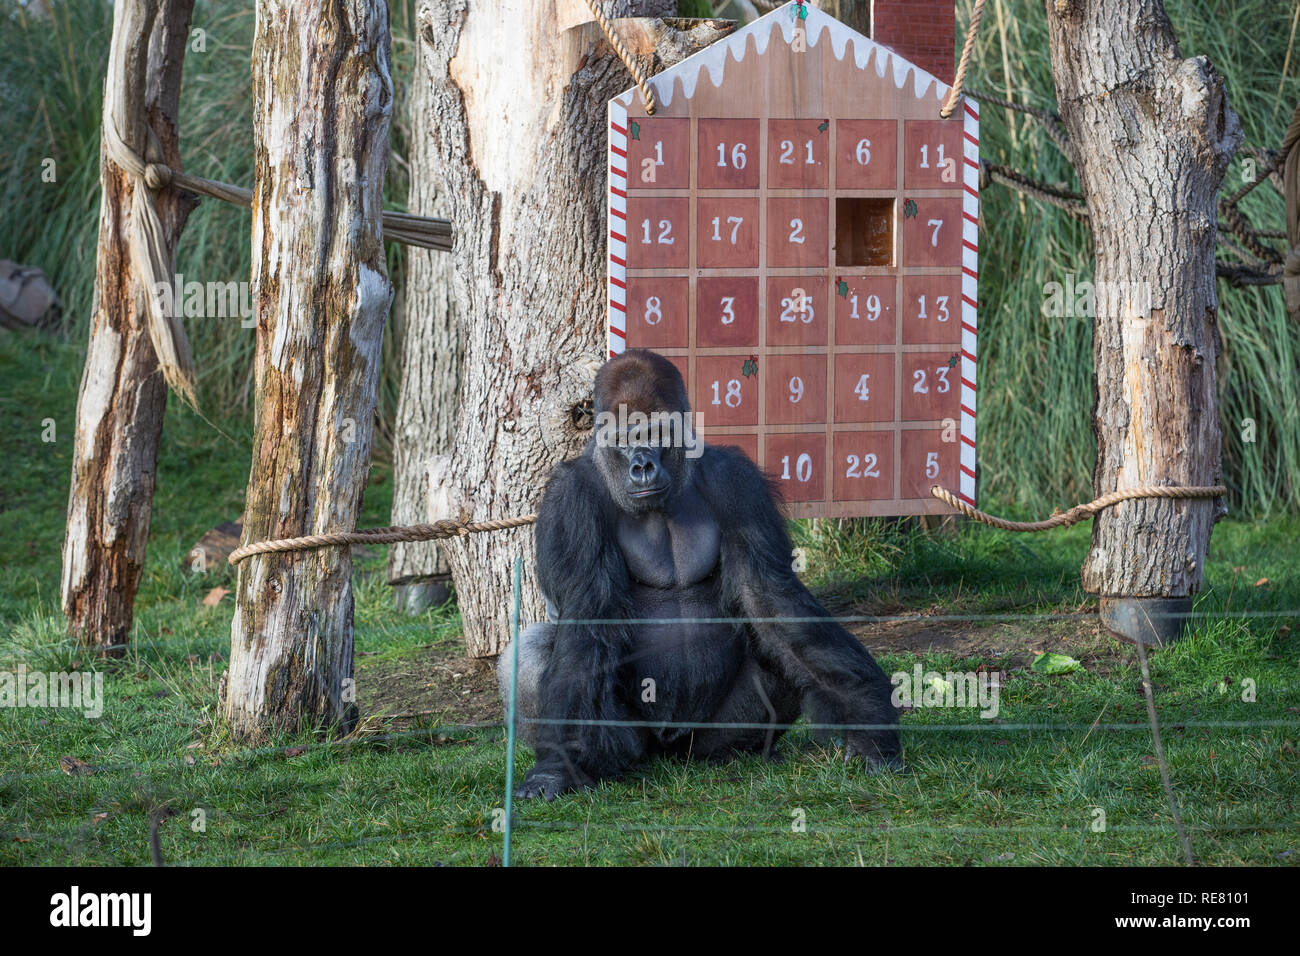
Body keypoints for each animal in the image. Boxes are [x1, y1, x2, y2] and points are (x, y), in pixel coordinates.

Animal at [499, 348, 904, 796]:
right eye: (624, 441)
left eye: (657, 433)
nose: (642, 466)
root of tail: (671, 753)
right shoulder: (570, 501)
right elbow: (587, 620)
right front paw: (556, 765)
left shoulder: (738, 482)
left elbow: (770, 598)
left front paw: (869, 723)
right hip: (634, 745)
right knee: (533, 650)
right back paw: (598, 765)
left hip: (705, 738)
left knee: (776, 645)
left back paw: (739, 751)